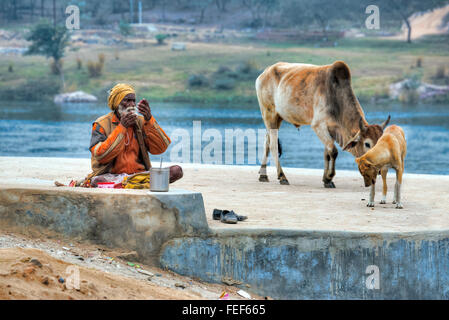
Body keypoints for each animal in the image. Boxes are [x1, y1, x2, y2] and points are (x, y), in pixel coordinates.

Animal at [256, 60, 388, 188]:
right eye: (367, 144)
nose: (379, 169)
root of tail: (264, 73)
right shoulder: (319, 126)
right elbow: (333, 152)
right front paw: (329, 177)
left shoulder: (331, 130)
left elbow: (327, 154)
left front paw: (326, 180)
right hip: (269, 114)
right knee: (273, 145)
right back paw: (282, 176)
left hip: (277, 118)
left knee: (267, 142)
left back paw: (263, 175)